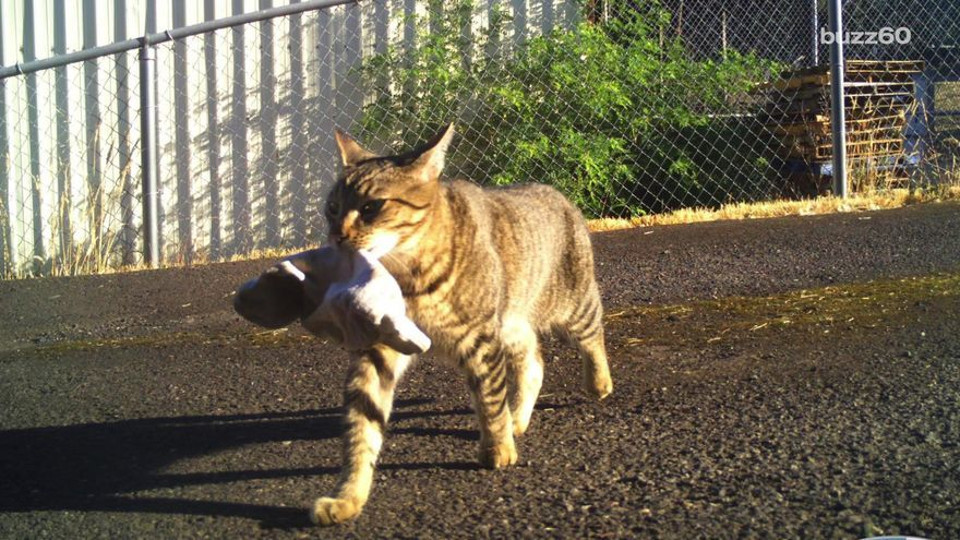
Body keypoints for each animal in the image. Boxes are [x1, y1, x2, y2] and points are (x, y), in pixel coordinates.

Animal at [312, 124, 612, 524]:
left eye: (372, 207)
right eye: (331, 209)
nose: (335, 236)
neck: (407, 278)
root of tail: (554, 191)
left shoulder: (480, 339)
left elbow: (488, 398)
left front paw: (498, 447)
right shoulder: (376, 347)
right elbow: (362, 425)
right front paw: (348, 494)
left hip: (570, 304)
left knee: (593, 334)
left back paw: (598, 382)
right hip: (512, 323)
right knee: (534, 363)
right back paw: (518, 417)